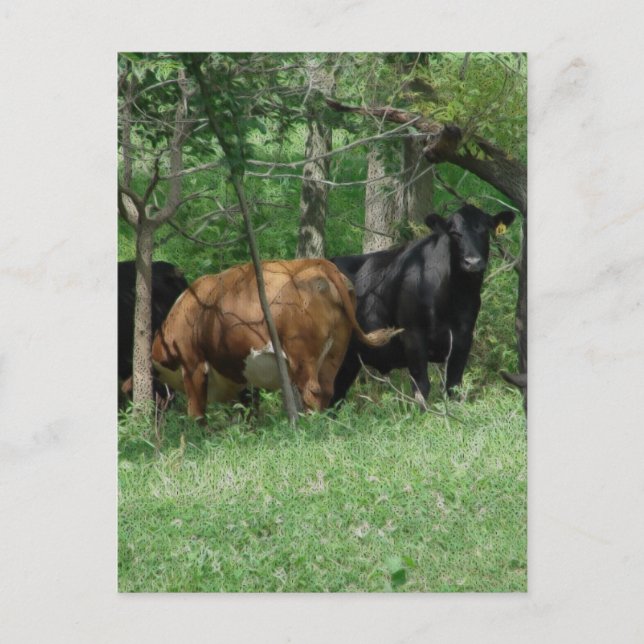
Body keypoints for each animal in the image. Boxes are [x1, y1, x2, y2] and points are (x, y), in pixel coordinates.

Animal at [151, 258, 401, 419]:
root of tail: (318, 265)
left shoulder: (192, 365)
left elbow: (197, 412)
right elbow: (248, 408)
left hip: (302, 356)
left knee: (312, 390)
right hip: (334, 352)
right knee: (327, 390)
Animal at [330, 204, 516, 408]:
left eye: (485, 230)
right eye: (454, 233)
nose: (472, 262)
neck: (453, 299)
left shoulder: (463, 337)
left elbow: (453, 385)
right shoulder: (413, 334)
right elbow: (421, 387)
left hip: (349, 361)